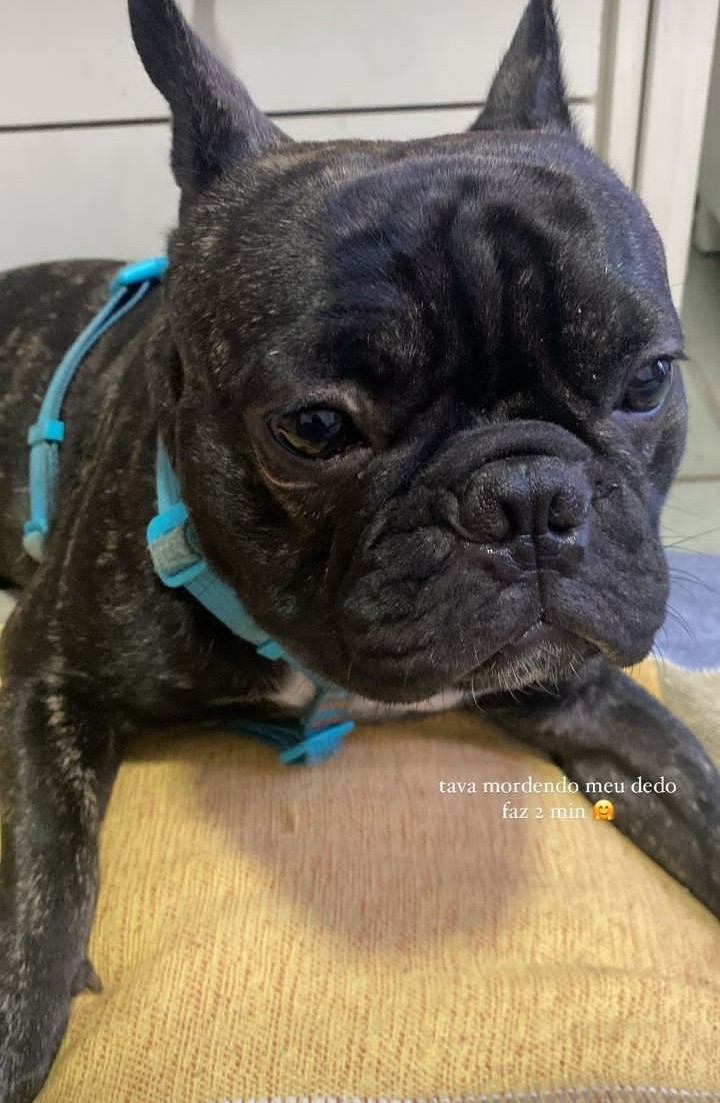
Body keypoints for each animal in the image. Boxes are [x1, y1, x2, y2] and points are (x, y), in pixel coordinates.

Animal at [1, 0, 718, 1098]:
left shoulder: (594, 699)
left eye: (648, 379)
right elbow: (43, 884)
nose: (528, 497)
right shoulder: (44, 677)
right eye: (314, 427)